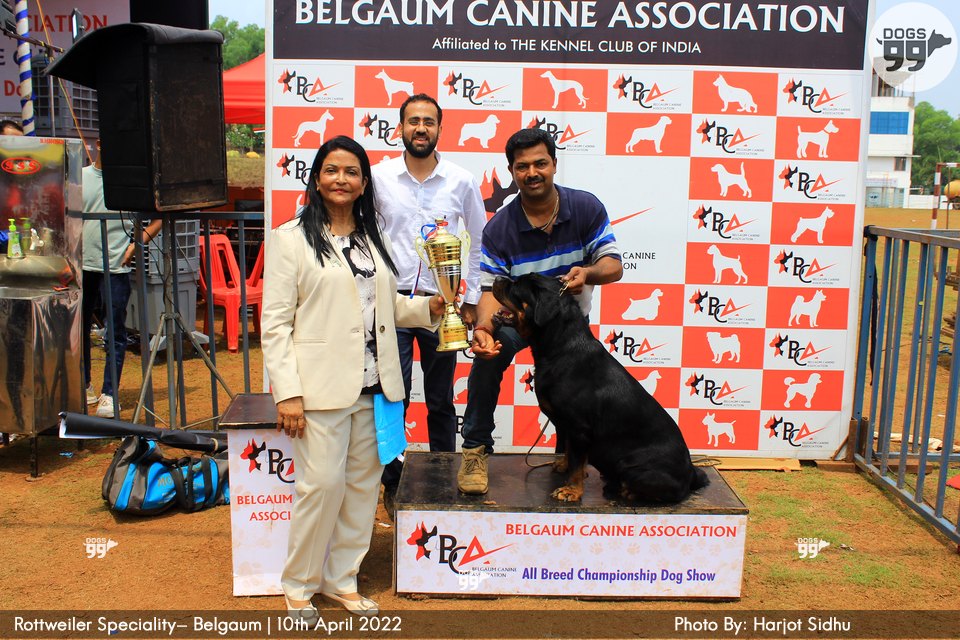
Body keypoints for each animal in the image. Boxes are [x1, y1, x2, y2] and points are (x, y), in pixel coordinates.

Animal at [491, 274, 709, 503]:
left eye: (516, 285)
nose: (496, 278)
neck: (560, 348)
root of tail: (691, 474)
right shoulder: (566, 425)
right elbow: (569, 452)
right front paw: (564, 465)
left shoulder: (579, 427)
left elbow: (577, 464)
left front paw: (572, 490)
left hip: (631, 464)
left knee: (670, 493)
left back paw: (627, 490)